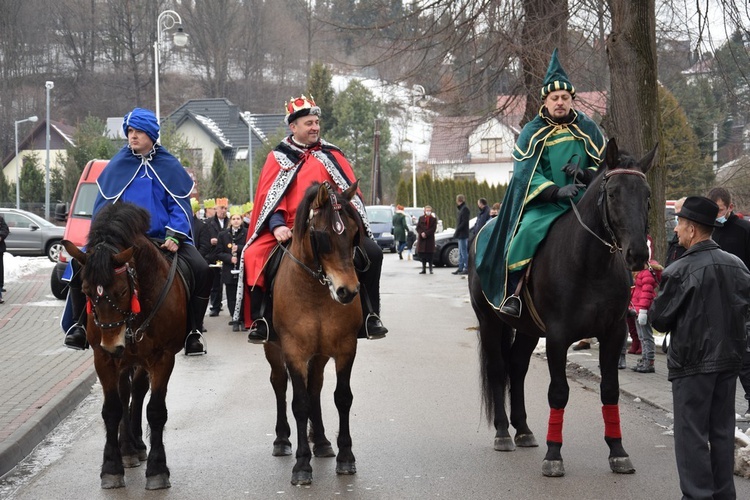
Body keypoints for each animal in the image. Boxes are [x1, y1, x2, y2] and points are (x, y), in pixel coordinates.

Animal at [63, 202, 189, 488]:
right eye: (85, 291)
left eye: (121, 291)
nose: (113, 344)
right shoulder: (103, 359)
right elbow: (112, 409)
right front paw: (111, 466)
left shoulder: (163, 358)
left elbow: (155, 410)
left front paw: (157, 468)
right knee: (125, 394)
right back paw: (128, 449)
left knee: (138, 393)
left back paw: (137, 446)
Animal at [264, 182, 364, 486]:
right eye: (322, 235)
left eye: (355, 233)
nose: (347, 291)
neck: (316, 291)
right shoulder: (293, 351)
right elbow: (299, 403)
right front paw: (301, 464)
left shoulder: (346, 348)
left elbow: (342, 397)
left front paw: (346, 456)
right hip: (273, 349)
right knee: (279, 383)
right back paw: (282, 440)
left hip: (320, 354)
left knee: (316, 386)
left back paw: (320, 441)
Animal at [470, 138, 656, 476]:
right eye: (613, 193)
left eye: (646, 195)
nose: (637, 254)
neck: (591, 265)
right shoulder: (557, 337)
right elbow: (558, 392)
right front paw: (554, 454)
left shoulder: (613, 333)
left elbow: (610, 390)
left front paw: (618, 451)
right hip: (491, 321)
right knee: (499, 368)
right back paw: (503, 432)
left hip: (528, 329)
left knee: (517, 367)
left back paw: (524, 430)